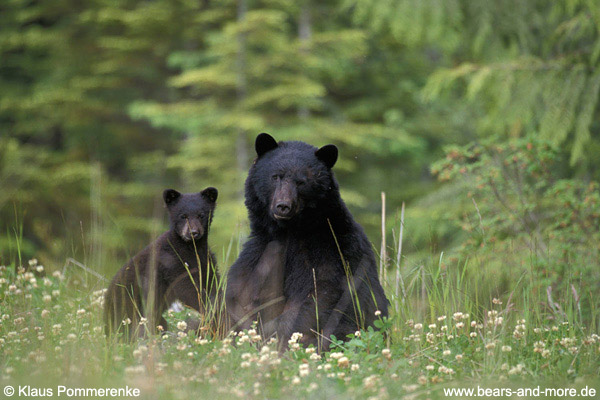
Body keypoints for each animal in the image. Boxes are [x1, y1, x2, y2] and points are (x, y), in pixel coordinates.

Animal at [104, 188, 221, 340]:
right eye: (183, 215)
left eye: (201, 215)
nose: (193, 232)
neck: (191, 248)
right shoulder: (172, 263)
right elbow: (188, 289)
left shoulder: (206, 262)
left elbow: (212, 283)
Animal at [225, 132, 390, 350]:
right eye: (276, 176)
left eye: (301, 182)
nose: (283, 206)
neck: (290, 231)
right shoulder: (262, 253)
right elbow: (244, 293)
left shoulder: (330, 250)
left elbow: (319, 297)